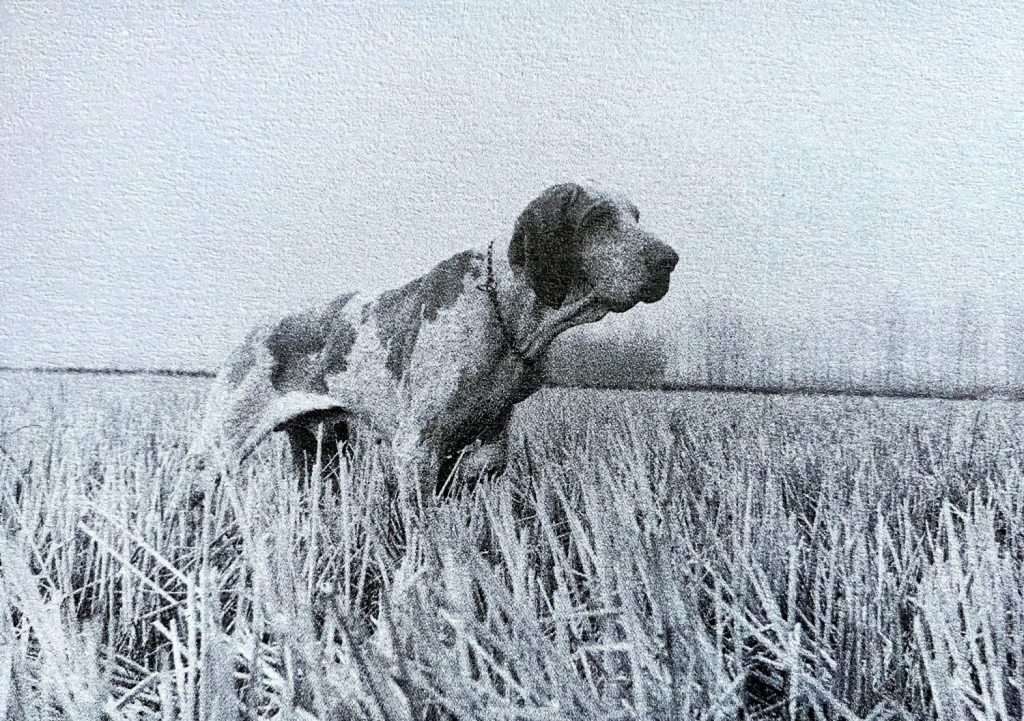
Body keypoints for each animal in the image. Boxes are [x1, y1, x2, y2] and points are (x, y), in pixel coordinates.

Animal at [192, 183, 679, 510]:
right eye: (598, 219)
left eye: (636, 217)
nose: (670, 260)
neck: (503, 311)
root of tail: (253, 331)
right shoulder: (416, 446)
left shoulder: (486, 444)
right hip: (217, 451)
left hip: (323, 450)